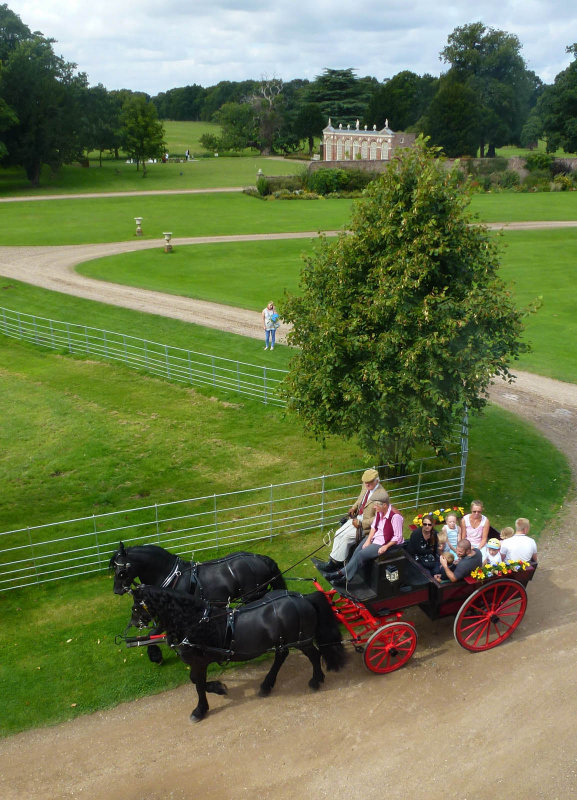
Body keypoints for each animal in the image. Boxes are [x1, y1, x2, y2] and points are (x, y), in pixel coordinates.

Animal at [108, 544, 286, 664]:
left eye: (121, 571)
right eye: (114, 569)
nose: (117, 590)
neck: (172, 576)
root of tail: (262, 559)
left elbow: (153, 633)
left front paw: (155, 656)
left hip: (253, 596)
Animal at [132, 584, 346, 720]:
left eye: (135, 607)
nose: (133, 623)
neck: (196, 622)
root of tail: (303, 598)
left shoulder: (198, 662)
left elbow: (198, 685)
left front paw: (200, 709)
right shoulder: (199, 663)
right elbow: (196, 681)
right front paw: (218, 688)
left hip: (301, 640)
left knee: (314, 655)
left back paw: (316, 680)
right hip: (283, 641)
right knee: (281, 656)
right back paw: (266, 686)